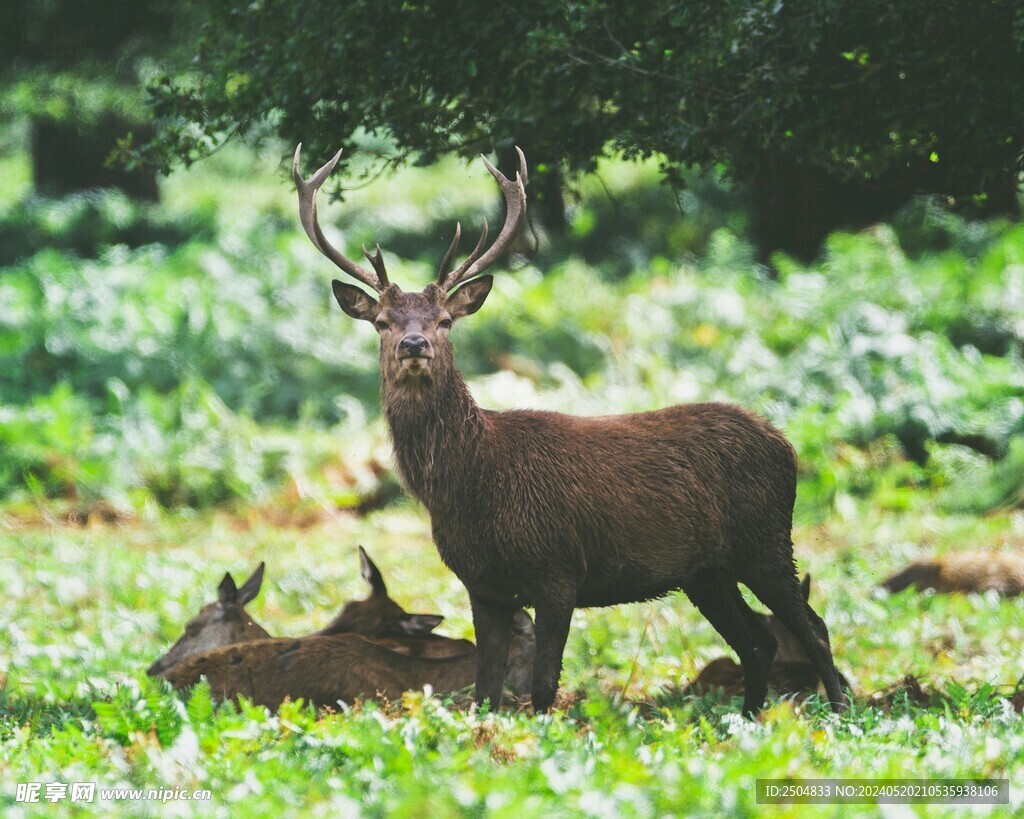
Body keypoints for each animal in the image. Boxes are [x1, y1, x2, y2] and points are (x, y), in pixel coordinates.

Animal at [292, 144, 848, 717]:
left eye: (445, 319)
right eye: (382, 321)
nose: (414, 344)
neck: (470, 485)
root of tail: (785, 444)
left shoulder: (558, 568)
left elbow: (542, 687)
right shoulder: (480, 584)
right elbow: (485, 692)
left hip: (767, 539)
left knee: (814, 628)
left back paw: (838, 710)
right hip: (706, 571)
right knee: (758, 642)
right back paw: (750, 717)